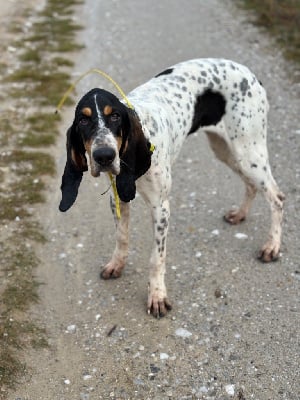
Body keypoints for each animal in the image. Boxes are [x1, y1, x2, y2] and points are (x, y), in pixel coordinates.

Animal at [58, 57, 284, 318]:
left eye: (114, 117)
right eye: (83, 120)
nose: (104, 156)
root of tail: (251, 74)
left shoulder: (161, 208)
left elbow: (156, 259)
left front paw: (157, 296)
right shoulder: (118, 198)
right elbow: (122, 237)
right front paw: (117, 264)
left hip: (248, 152)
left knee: (277, 197)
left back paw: (272, 246)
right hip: (226, 150)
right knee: (251, 185)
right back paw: (240, 214)